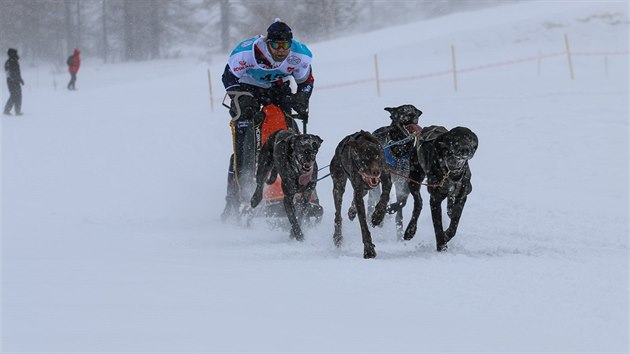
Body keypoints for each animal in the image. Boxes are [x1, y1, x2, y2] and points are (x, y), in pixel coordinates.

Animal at [370, 103, 424, 239]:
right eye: (402, 110)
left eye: (414, 110)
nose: (412, 114)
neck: (400, 147)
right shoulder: (386, 174)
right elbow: (385, 194)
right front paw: (378, 214)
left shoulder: (406, 181)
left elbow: (402, 202)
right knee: (373, 198)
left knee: (399, 213)